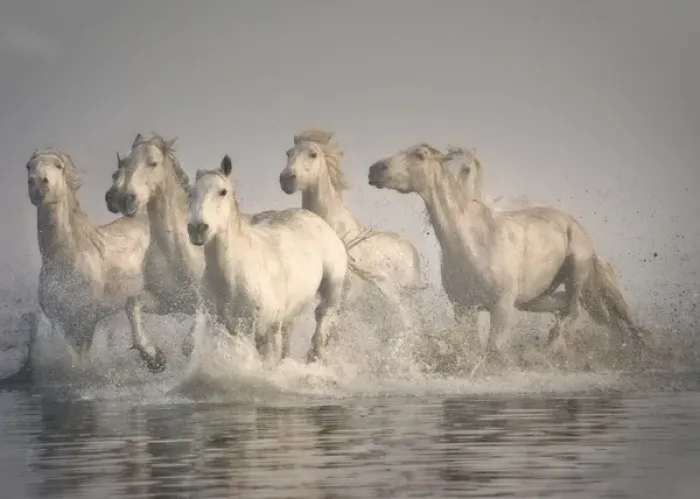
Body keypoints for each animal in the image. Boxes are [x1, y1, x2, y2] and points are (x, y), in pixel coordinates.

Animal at [26, 147, 150, 369]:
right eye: (28, 166)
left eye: (58, 166)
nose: (38, 184)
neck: (65, 262)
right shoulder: (65, 324)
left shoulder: (85, 324)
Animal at [188, 154, 350, 367]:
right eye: (191, 192)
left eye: (222, 191)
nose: (197, 229)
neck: (233, 278)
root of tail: (318, 220)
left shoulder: (267, 334)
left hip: (331, 290)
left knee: (322, 321)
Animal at [368, 143, 645, 367]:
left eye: (420, 154)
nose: (374, 170)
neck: (471, 244)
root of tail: (575, 225)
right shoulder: (464, 308)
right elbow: (471, 348)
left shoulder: (501, 307)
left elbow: (494, 349)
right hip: (533, 299)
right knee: (575, 310)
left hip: (576, 271)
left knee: (574, 311)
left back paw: (550, 348)